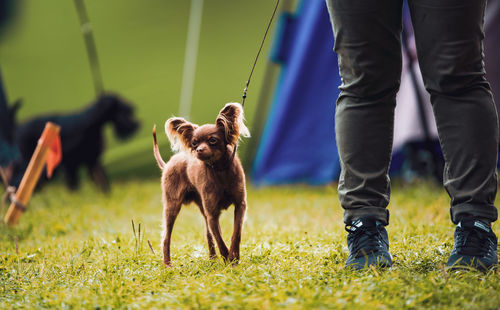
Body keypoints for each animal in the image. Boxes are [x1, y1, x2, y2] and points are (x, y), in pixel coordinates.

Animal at [10, 94, 139, 191]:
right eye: (122, 109)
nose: (138, 124)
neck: (90, 122)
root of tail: (17, 128)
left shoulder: (91, 161)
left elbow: (101, 181)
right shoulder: (71, 164)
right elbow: (73, 185)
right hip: (31, 162)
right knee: (18, 179)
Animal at [152, 102, 250, 266]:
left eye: (213, 140)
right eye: (194, 142)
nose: (198, 150)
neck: (220, 170)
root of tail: (168, 164)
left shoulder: (240, 205)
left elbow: (235, 234)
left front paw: (234, 257)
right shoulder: (212, 214)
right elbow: (220, 239)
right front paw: (228, 259)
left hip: (201, 208)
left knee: (208, 234)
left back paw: (212, 258)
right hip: (172, 206)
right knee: (166, 237)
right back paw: (167, 264)